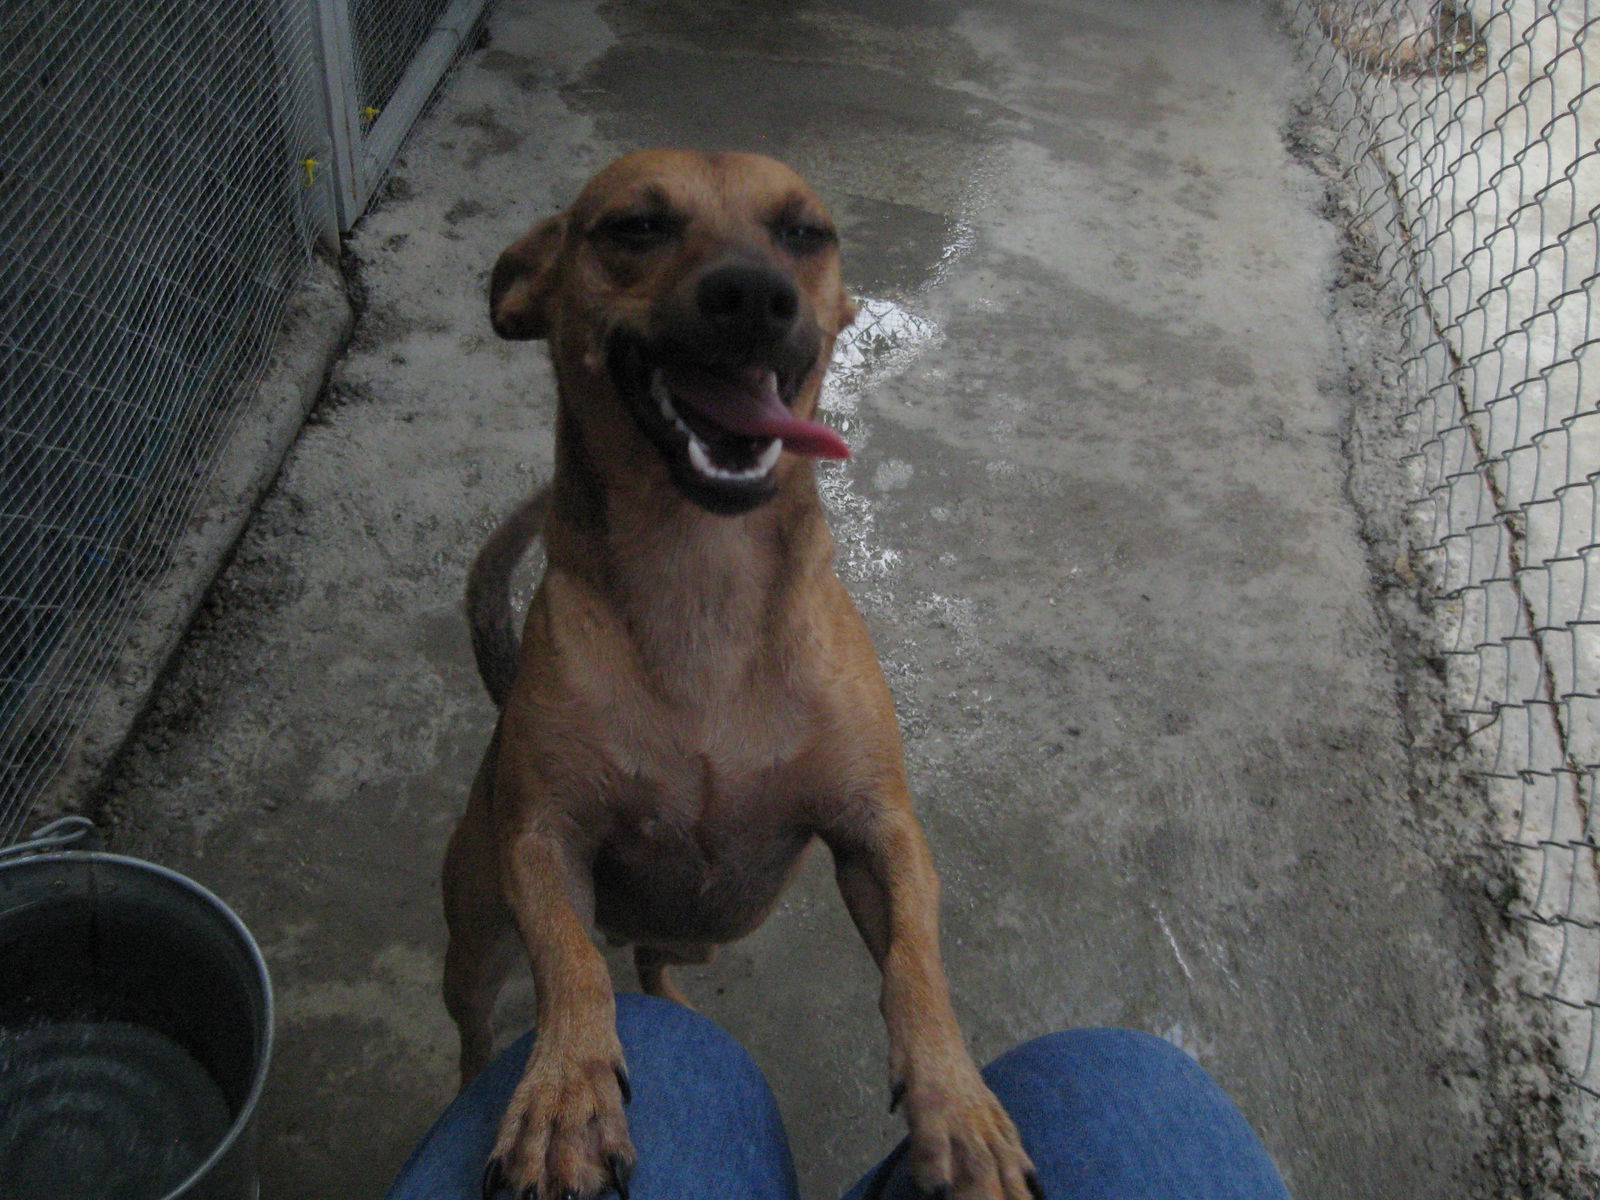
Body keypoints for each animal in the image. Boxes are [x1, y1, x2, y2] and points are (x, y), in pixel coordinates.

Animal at [441, 150, 1036, 1200]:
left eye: (805, 233)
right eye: (634, 227)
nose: (754, 294)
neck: (701, 575)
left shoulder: (878, 831)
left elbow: (917, 968)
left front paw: (959, 1105)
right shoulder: (541, 840)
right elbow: (570, 967)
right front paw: (564, 1092)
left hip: (699, 924)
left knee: (649, 958)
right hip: (471, 942)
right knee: (492, 1018)